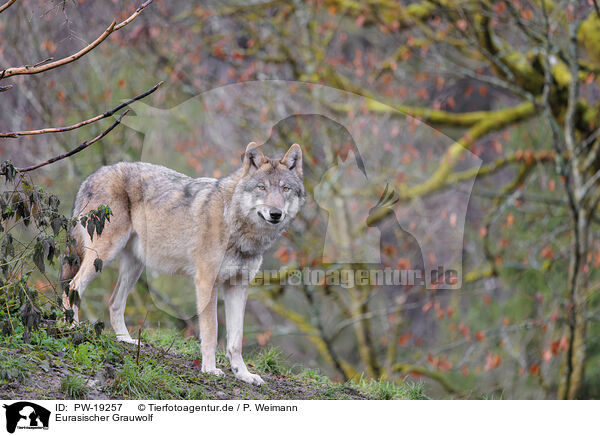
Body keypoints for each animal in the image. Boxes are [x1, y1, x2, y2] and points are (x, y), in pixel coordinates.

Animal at [62, 143, 304, 384]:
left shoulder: (238, 285)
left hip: (135, 266)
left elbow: (236, 339)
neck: (236, 225)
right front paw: (209, 369)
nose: (276, 213)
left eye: (285, 189)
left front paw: (243, 374)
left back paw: (126, 340)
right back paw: (72, 326)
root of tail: (93, 176)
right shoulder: (206, 283)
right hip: (103, 256)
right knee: (72, 286)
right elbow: (211, 331)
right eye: (262, 187)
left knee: (114, 302)